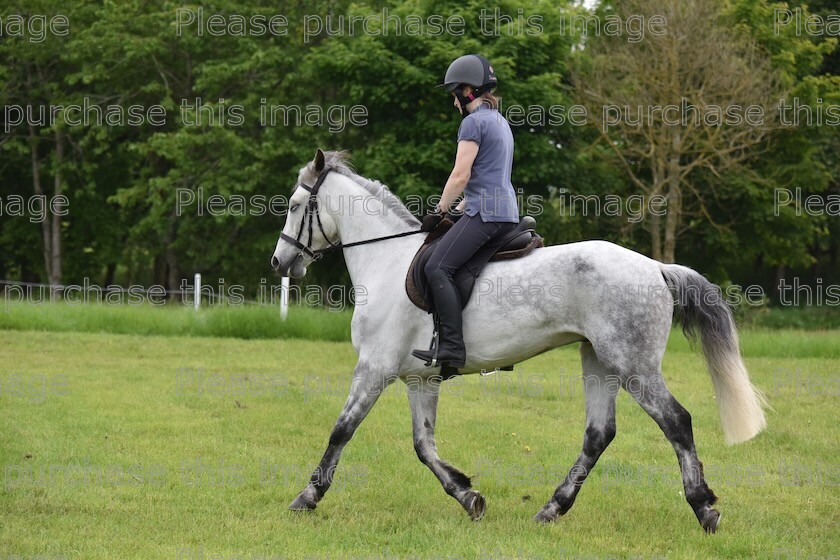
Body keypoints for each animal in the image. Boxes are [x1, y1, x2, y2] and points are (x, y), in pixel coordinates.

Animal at [270, 149, 768, 532]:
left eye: (294, 205)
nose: (280, 263)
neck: (387, 260)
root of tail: (656, 268)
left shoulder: (374, 367)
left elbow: (341, 430)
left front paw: (306, 497)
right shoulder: (419, 379)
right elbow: (424, 445)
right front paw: (468, 496)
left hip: (634, 365)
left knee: (677, 422)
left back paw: (704, 508)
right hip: (599, 360)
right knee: (598, 434)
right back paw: (552, 508)